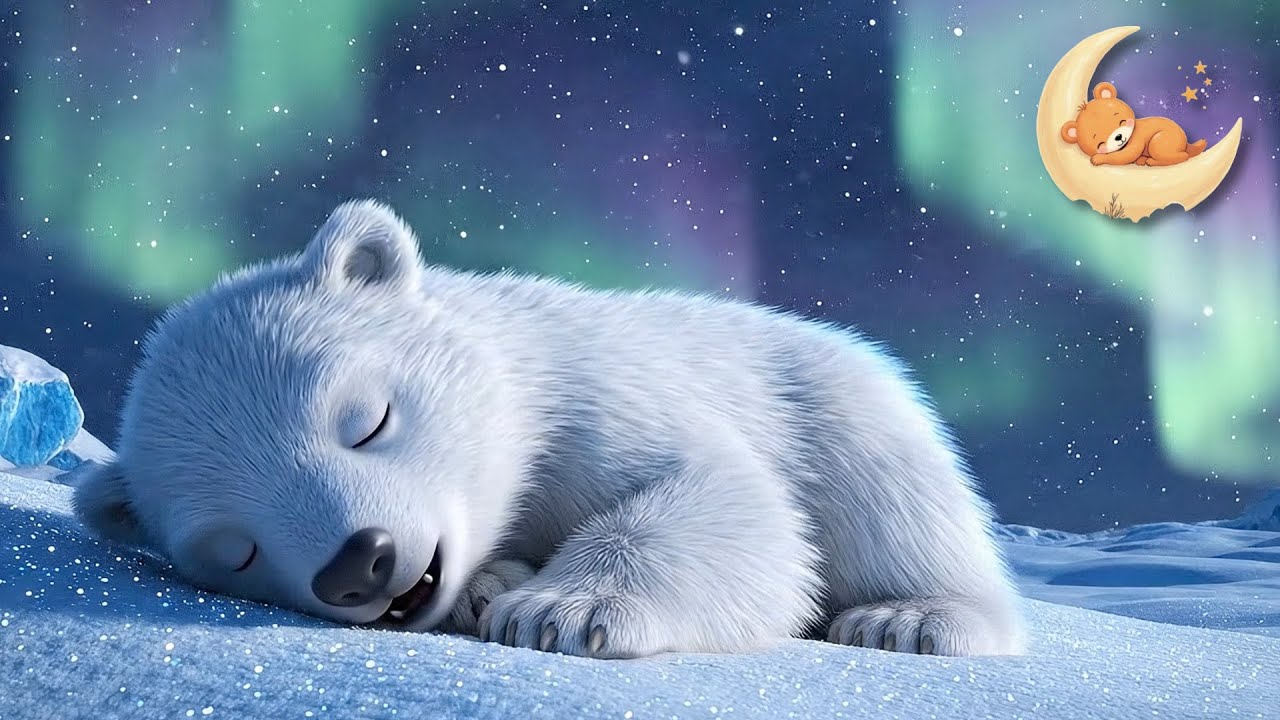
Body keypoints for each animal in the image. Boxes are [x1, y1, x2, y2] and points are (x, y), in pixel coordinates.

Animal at [70, 200, 1027, 659]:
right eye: (235, 548)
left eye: (365, 419)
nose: (360, 563)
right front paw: (502, 585)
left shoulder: (593, 393)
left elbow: (721, 497)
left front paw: (562, 611)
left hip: (844, 409)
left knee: (890, 508)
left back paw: (908, 617)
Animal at [1061, 82, 1206, 167]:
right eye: (1100, 142)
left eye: (1121, 121)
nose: (1119, 137)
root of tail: (1185, 142)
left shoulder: (1137, 138)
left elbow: (1126, 154)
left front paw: (1098, 158)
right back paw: (1142, 159)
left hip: (1161, 140)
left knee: (1182, 155)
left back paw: (1151, 161)